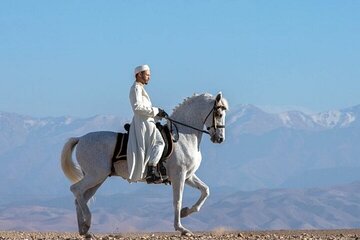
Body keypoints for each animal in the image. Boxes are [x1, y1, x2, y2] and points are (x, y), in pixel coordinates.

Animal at [59, 92, 228, 236]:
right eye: (219, 114)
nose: (220, 139)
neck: (183, 136)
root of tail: (80, 138)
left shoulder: (188, 176)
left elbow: (205, 190)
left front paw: (185, 212)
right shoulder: (179, 176)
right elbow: (177, 200)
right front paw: (181, 228)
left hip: (97, 179)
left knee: (80, 198)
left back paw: (84, 230)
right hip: (96, 176)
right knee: (75, 190)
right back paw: (87, 222)